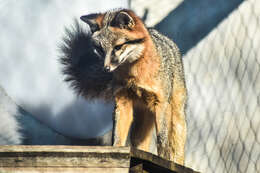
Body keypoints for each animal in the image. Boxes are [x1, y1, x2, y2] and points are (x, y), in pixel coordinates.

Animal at [60, 8, 187, 165]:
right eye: (100, 49)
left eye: (118, 47)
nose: (106, 69)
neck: (134, 76)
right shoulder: (122, 102)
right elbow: (118, 137)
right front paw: (116, 154)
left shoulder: (161, 103)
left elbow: (162, 141)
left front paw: (163, 160)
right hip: (141, 124)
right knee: (140, 144)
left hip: (177, 116)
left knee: (175, 144)